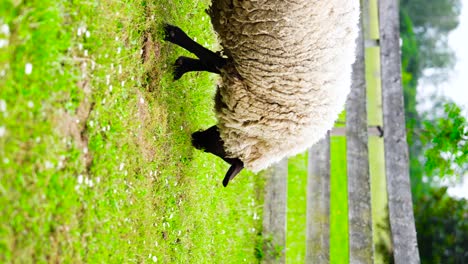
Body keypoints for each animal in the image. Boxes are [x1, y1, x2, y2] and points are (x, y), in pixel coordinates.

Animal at [163, 0, 360, 186]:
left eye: (222, 154)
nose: (194, 140)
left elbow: (212, 62)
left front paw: (181, 65)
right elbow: (212, 61)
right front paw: (173, 36)